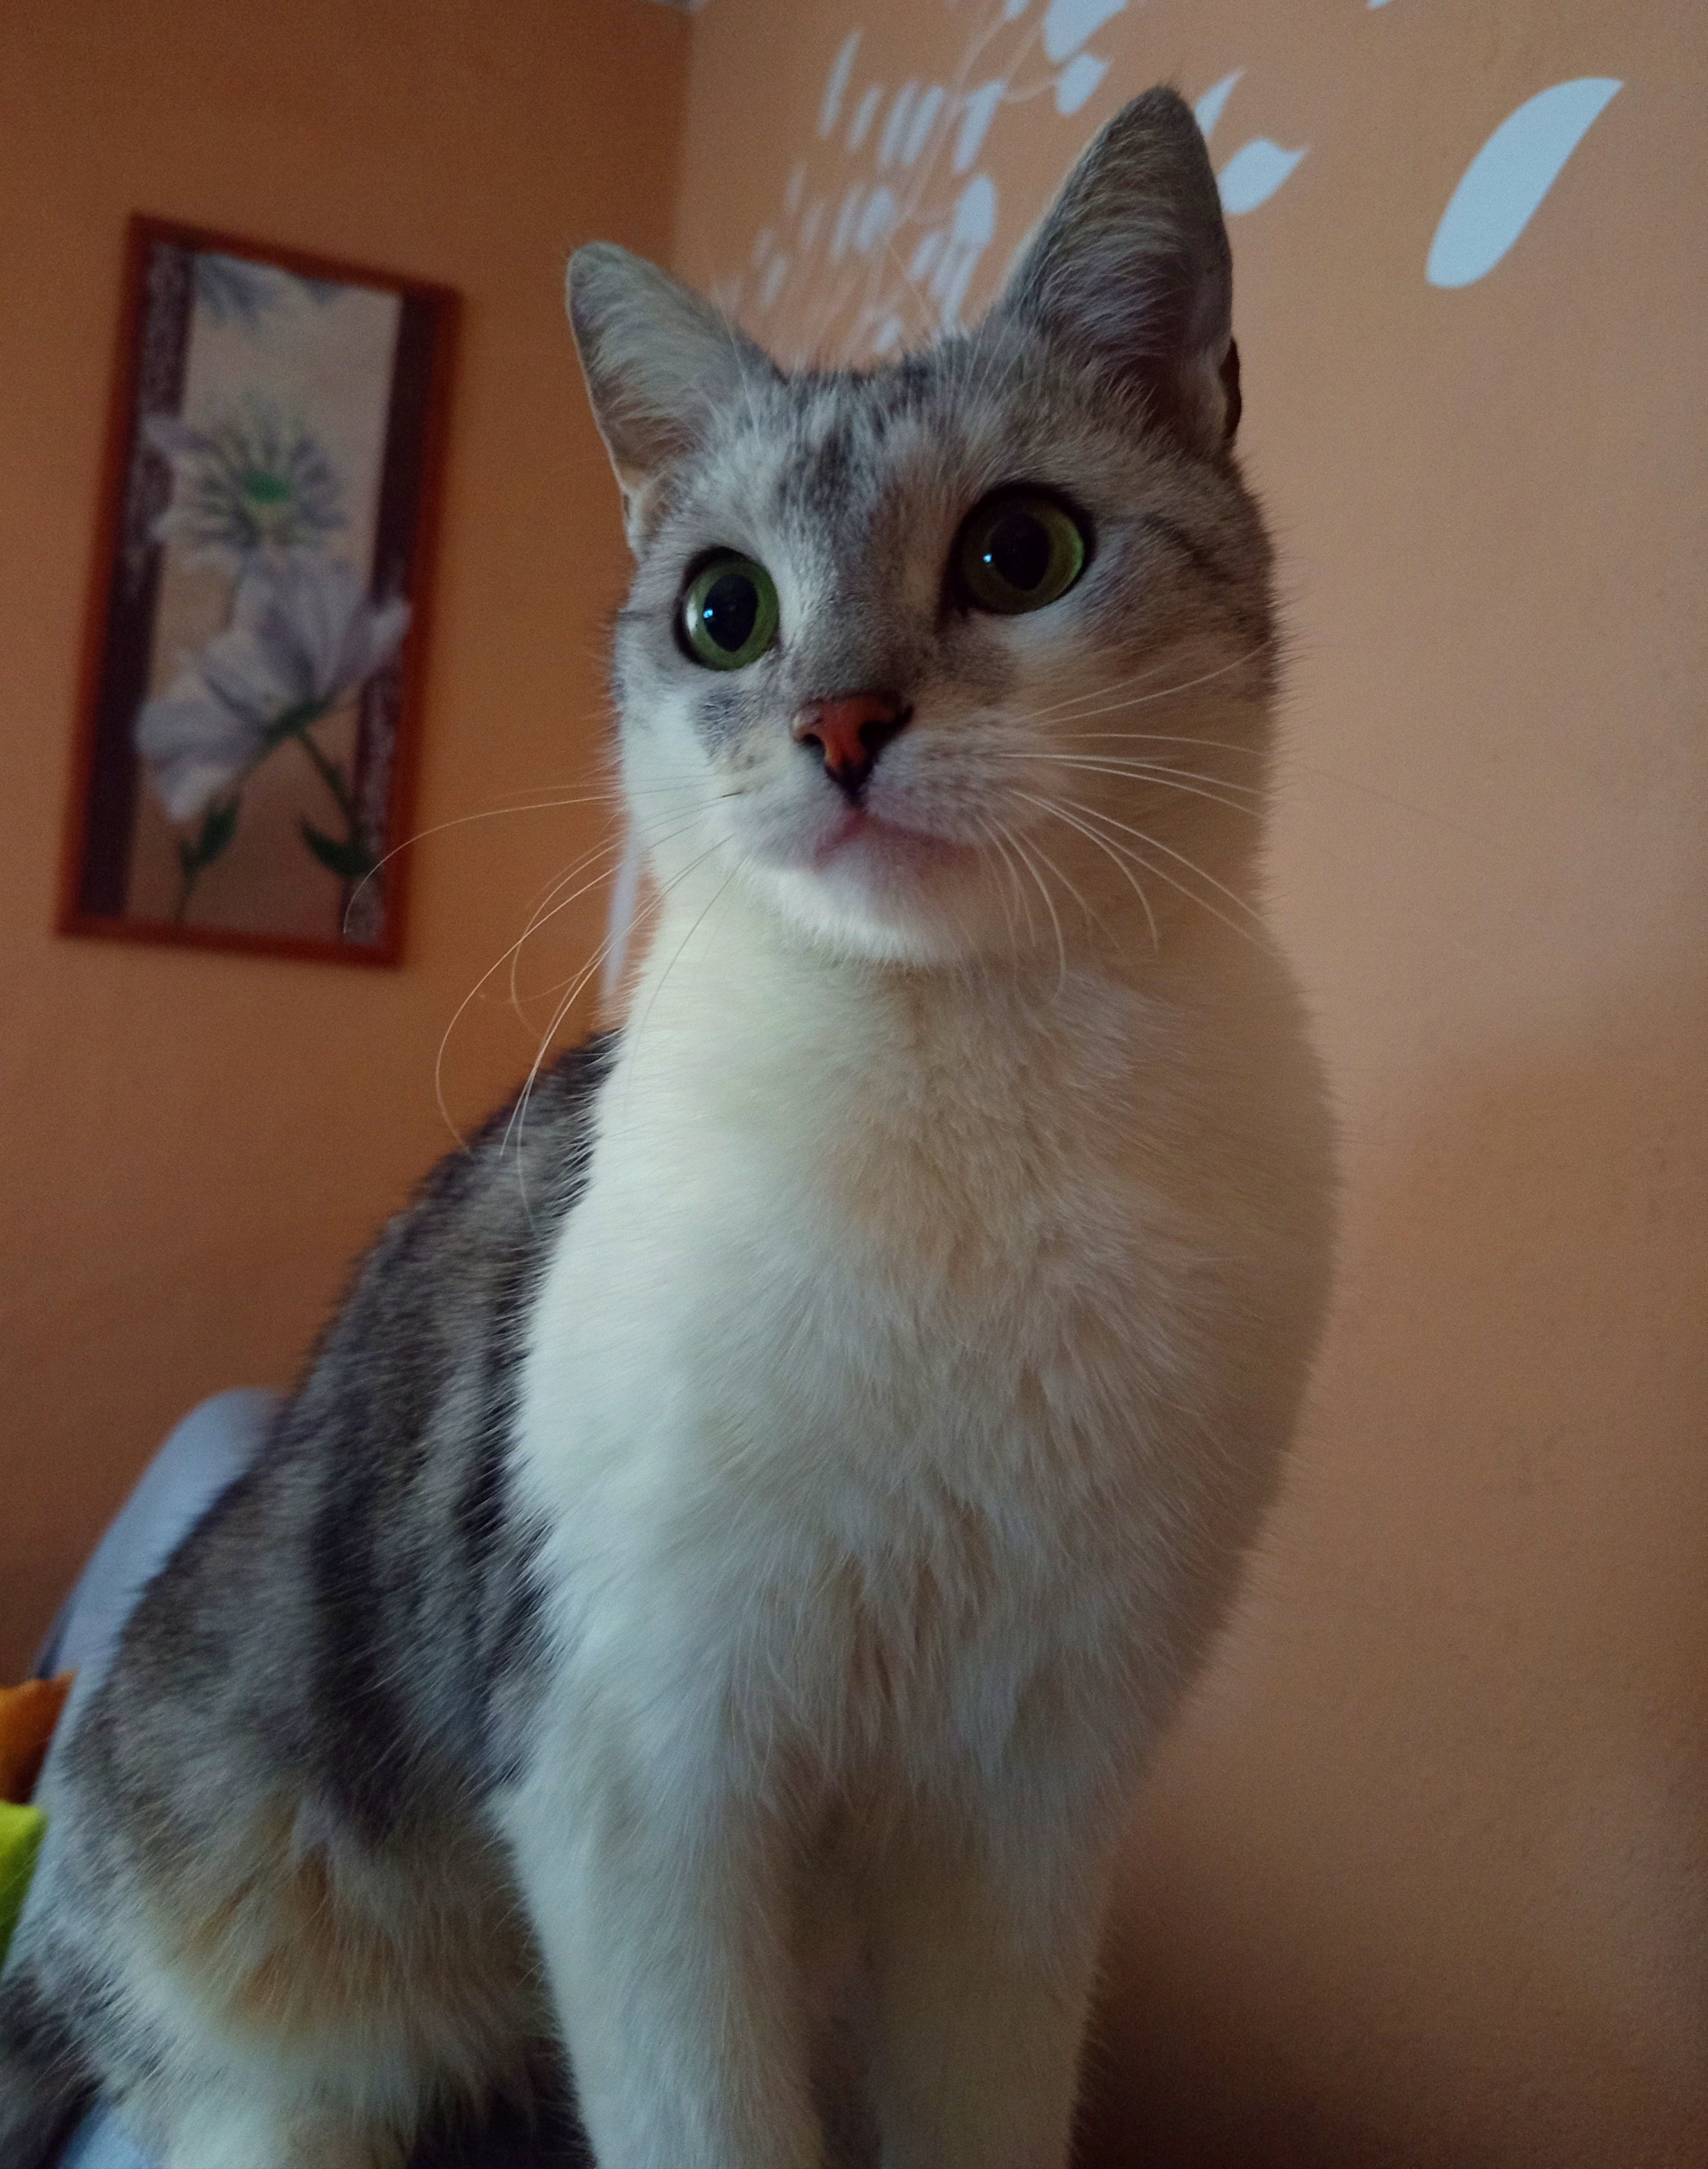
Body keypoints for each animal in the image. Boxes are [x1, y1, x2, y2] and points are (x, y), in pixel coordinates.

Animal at [0, 88, 1332, 2169]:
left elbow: (983, 2101)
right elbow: (708, 2114)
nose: (843, 721)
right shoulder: (638, 1775)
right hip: (254, 1969)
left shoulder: (1030, 1809)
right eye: (725, 610)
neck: (967, 1094)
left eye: (1023, 550)